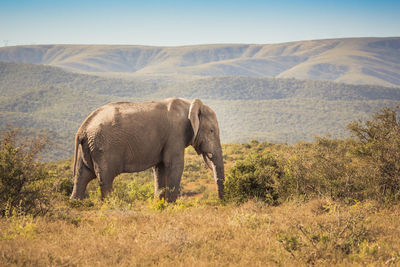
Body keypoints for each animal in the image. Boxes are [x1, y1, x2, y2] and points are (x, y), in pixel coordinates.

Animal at [69, 98, 225, 203]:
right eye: (211, 131)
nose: (221, 202)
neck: (190, 105)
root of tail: (82, 128)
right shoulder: (175, 134)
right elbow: (175, 165)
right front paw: (171, 206)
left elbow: (160, 168)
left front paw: (160, 205)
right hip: (103, 147)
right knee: (105, 179)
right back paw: (108, 206)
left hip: (88, 147)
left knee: (82, 177)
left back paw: (76, 204)